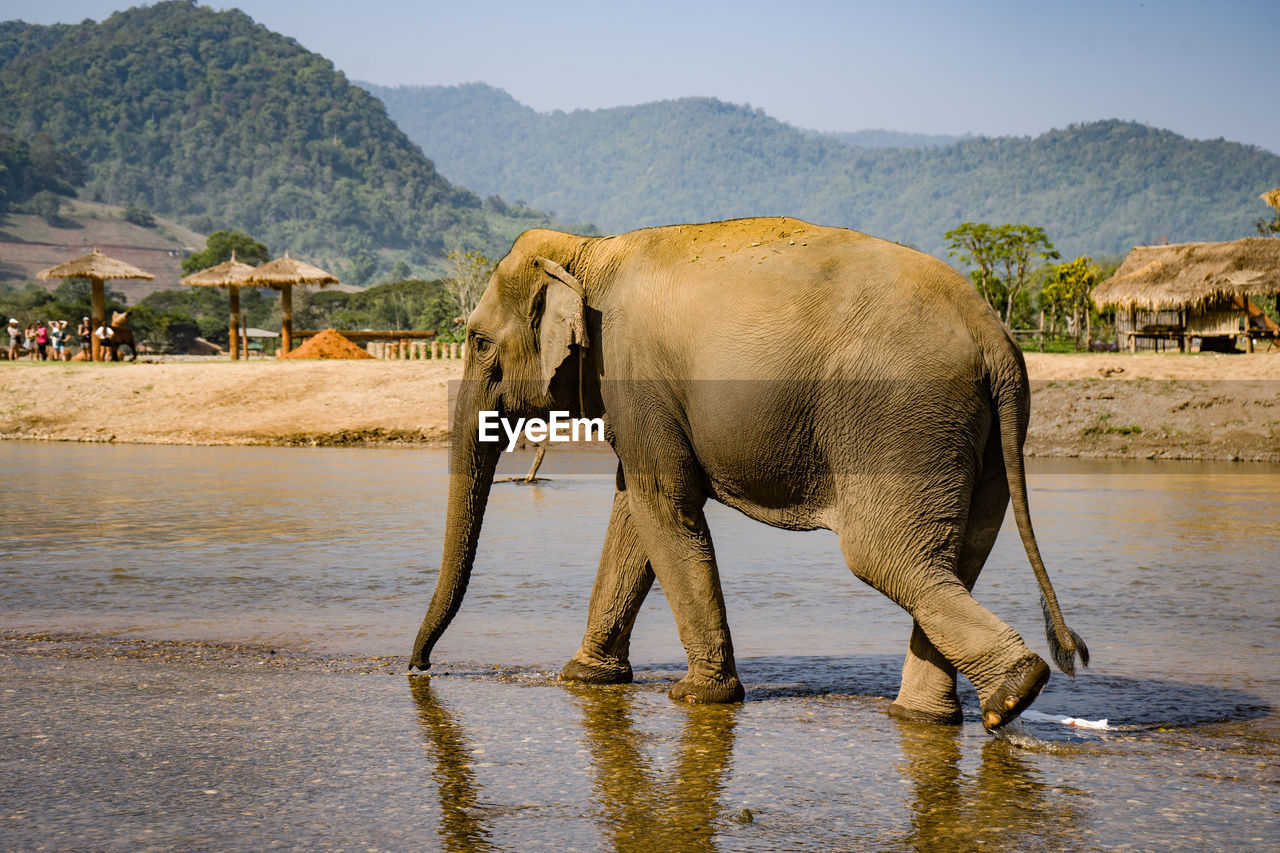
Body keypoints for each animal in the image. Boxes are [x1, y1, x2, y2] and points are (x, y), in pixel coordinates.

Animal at [412, 216, 1090, 727]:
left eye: (477, 342)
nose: (418, 668)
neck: (589, 249)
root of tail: (995, 339)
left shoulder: (633, 373)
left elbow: (663, 505)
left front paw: (696, 698)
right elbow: (635, 512)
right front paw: (584, 678)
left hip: (905, 420)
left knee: (888, 558)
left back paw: (1013, 692)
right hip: (980, 439)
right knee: (952, 560)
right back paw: (934, 715)